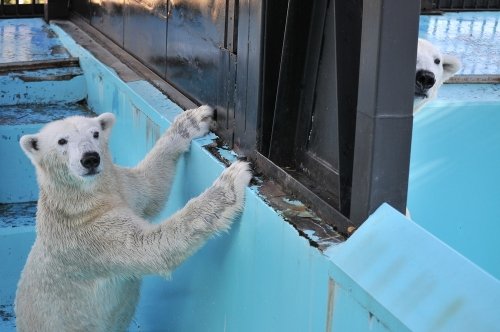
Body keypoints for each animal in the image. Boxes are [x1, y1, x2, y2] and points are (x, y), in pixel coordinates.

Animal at [15, 105, 252, 332]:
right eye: (62, 141)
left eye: (95, 133)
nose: (90, 159)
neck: (76, 200)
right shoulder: (86, 236)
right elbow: (150, 245)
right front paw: (230, 182)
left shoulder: (122, 187)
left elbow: (150, 186)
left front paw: (192, 121)